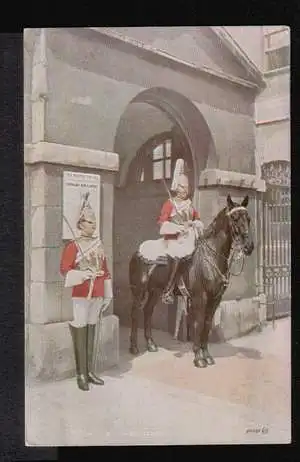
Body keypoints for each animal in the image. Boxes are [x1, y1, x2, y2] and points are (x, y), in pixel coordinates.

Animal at [127, 195, 254, 368]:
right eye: (234, 218)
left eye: (248, 219)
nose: (249, 247)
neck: (211, 256)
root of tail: (137, 252)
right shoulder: (200, 298)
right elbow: (198, 324)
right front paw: (199, 357)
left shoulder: (215, 299)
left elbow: (207, 324)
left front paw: (207, 355)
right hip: (139, 291)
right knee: (135, 314)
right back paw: (134, 347)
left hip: (155, 291)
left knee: (148, 311)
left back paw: (151, 344)